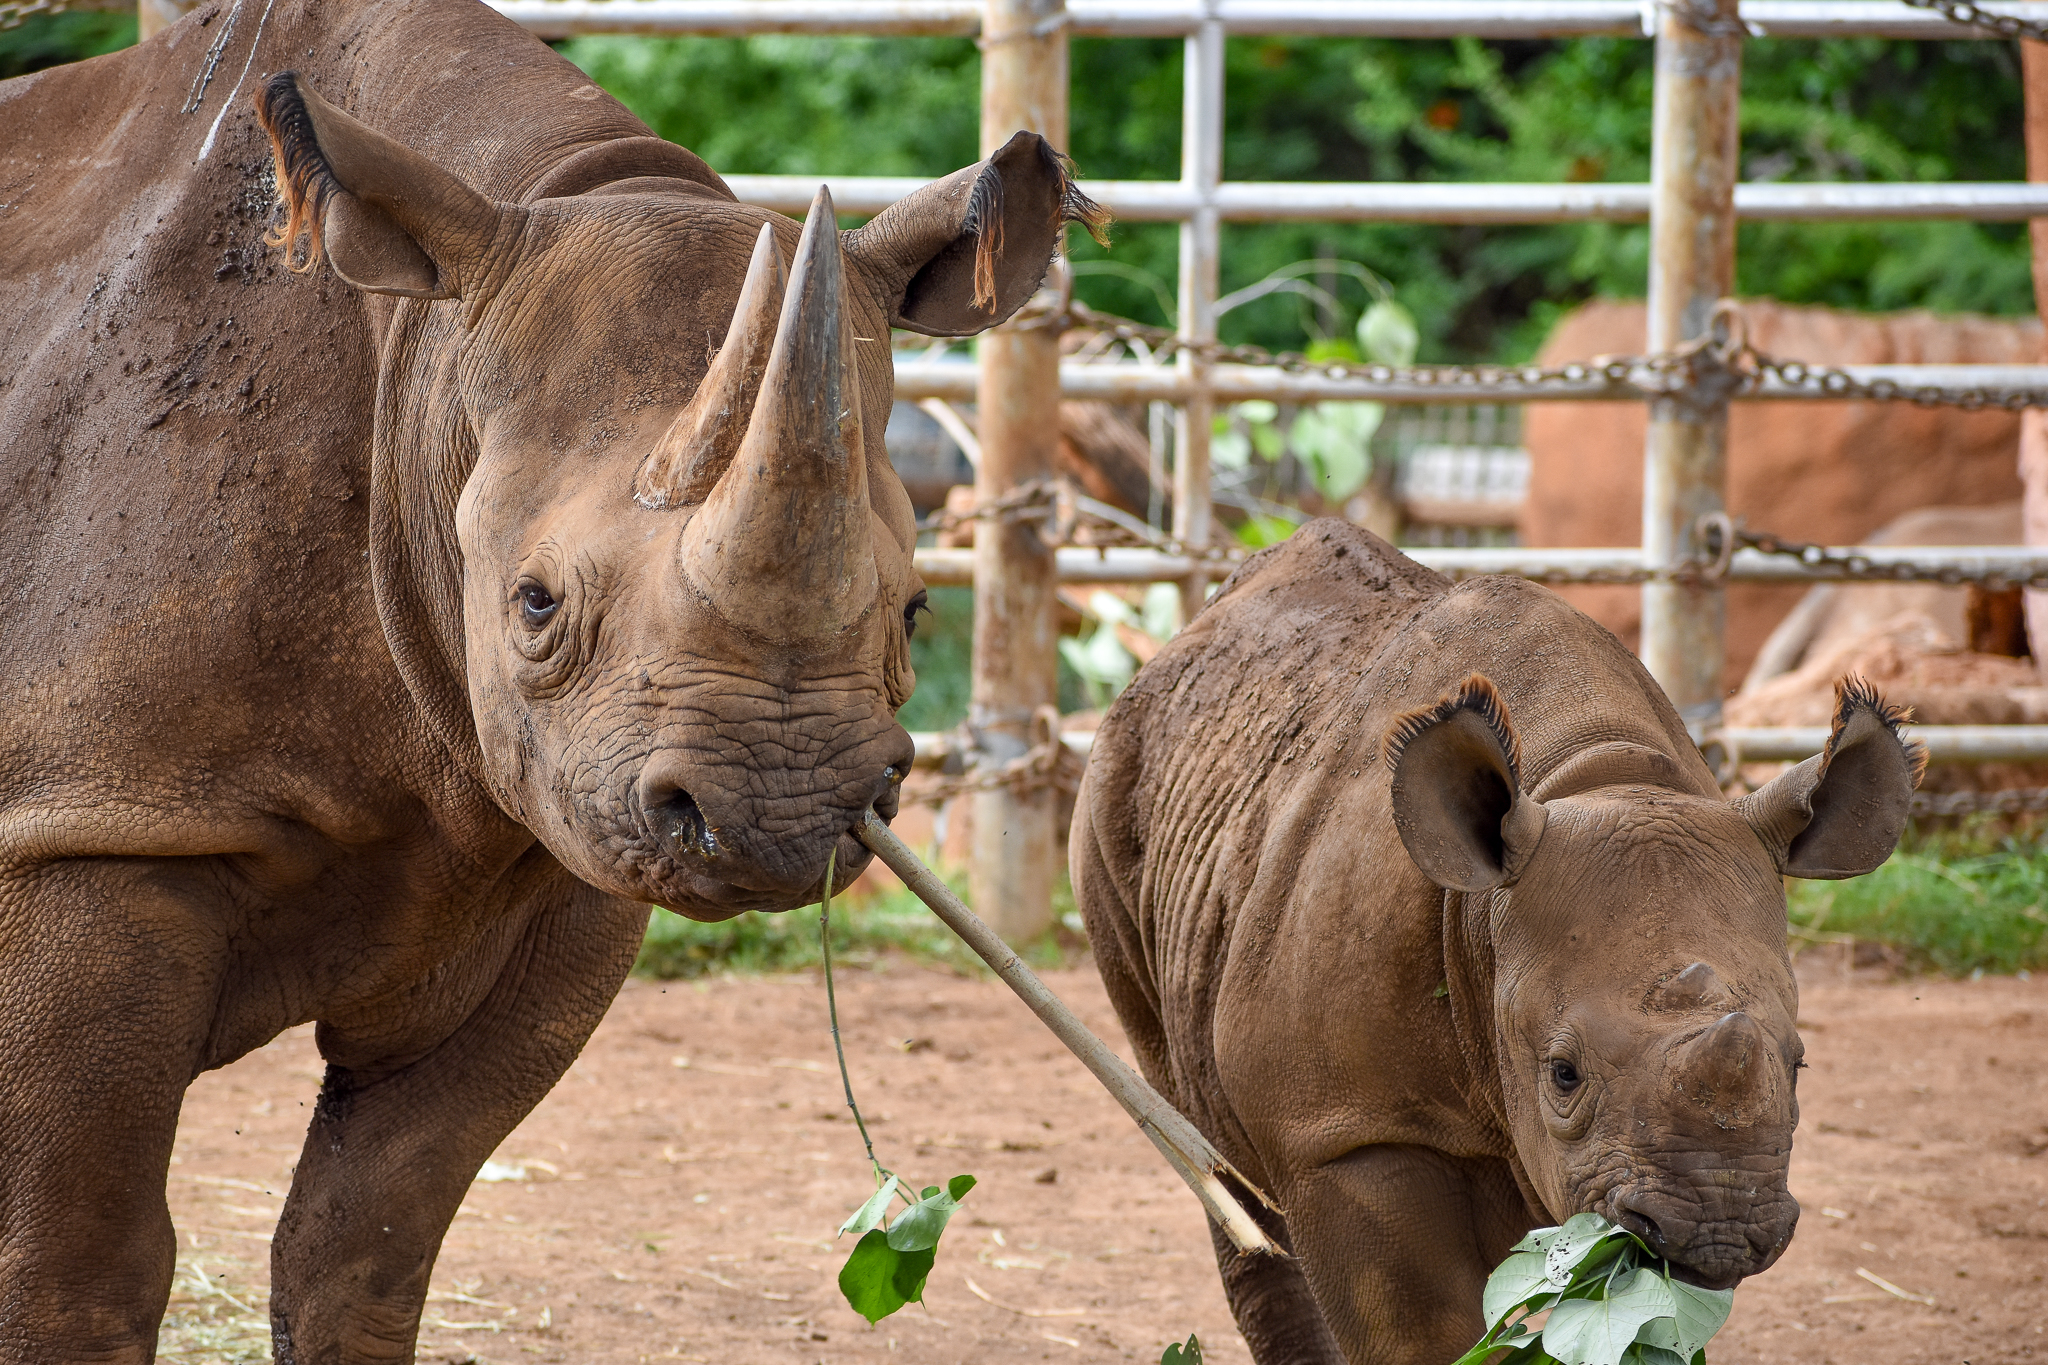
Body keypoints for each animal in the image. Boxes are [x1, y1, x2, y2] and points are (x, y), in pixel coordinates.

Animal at [0, 0, 1102, 1357]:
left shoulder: (556, 851)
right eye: (533, 604)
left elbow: (366, 1241)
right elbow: (80, 1265)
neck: (418, 369)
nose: (780, 818)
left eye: (913, 608)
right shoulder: (92, 821)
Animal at [1071, 520, 1922, 1365]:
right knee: (1206, 1144)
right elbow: (1419, 1331)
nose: (1719, 1230)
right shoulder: (1339, 1130)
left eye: (1799, 1063)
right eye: (1563, 1073)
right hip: (1109, 794)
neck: (1592, 772)